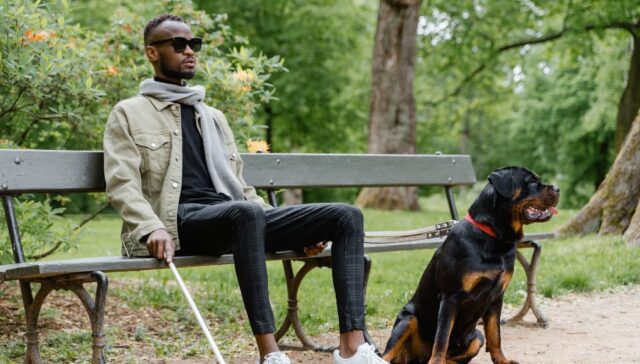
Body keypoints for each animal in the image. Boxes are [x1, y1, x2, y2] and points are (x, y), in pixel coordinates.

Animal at [382, 166, 556, 362]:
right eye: (532, 182)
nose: (557, 189)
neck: (494, 238)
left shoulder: (497, 297)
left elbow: (495, 335)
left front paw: (502, 360)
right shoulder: (450, 297)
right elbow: (442, 338)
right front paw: (437, 360)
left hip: (476, 337)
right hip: (408, 319)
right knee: (386, 354)